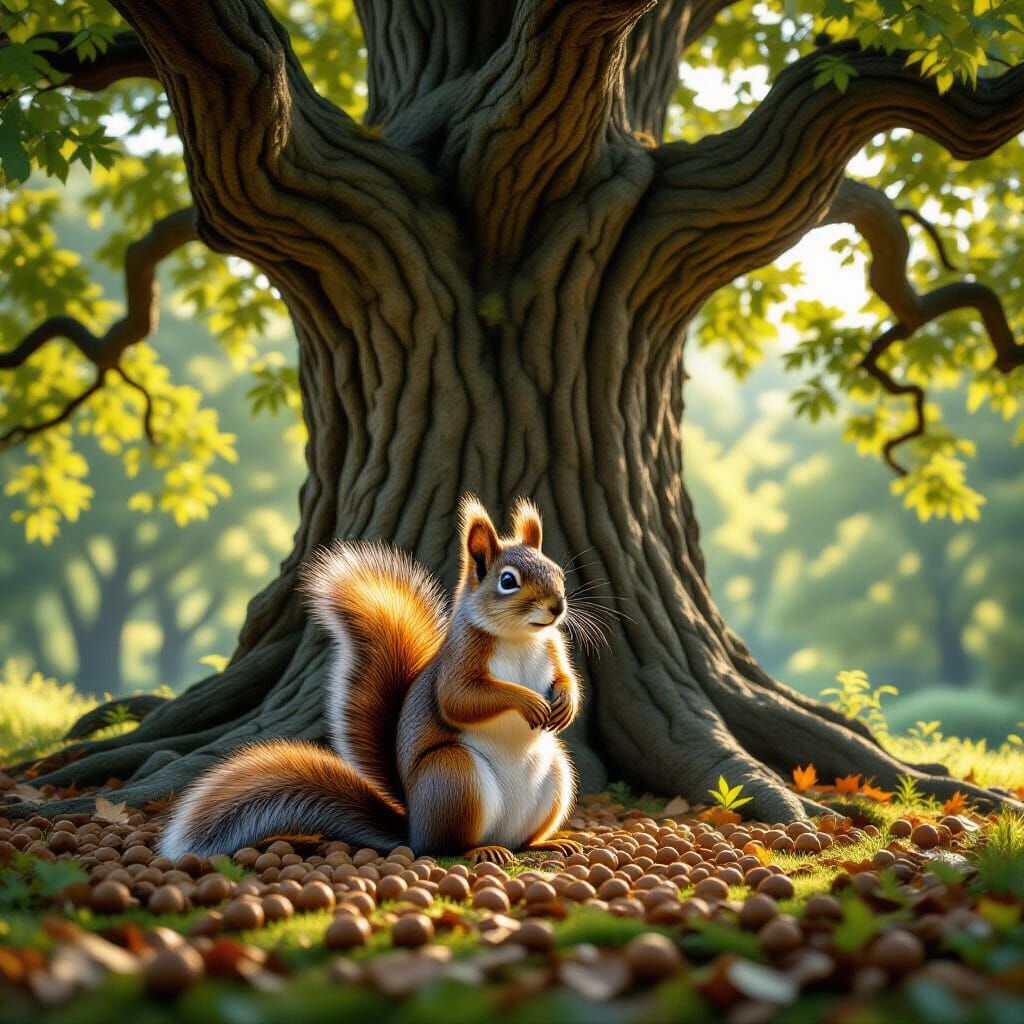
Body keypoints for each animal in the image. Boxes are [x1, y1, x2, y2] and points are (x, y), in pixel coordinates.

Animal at [160, 494, 584, 865]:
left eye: (558, 572)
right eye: (508, 581)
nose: (557, 607)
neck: (520, 637)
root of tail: (412, 828)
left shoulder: (553, 647)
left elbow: (566, 678)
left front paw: (565, 702)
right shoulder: (460, 660)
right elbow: (459, 699)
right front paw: (527, 700)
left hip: (556, 775)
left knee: (522, 838)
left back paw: (549, 842)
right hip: (453, 777)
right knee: (447, 845)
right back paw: (480, 850)